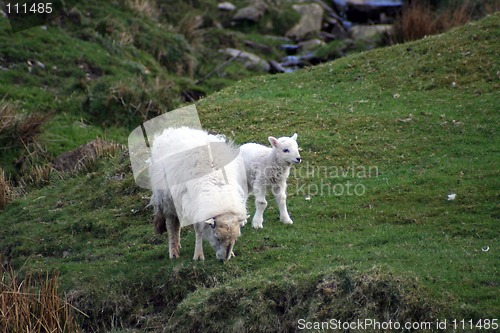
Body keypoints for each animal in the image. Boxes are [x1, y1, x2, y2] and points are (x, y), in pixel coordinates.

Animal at [149, 126, 249, 260]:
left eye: (235, 239)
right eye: (217, 237)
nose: (224, 260)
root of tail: (173, 130)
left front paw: (231, 253)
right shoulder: (194, 205)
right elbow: (198, 230)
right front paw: (198, 255)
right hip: (166, 199)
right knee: (171, 223)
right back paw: (173, 251)